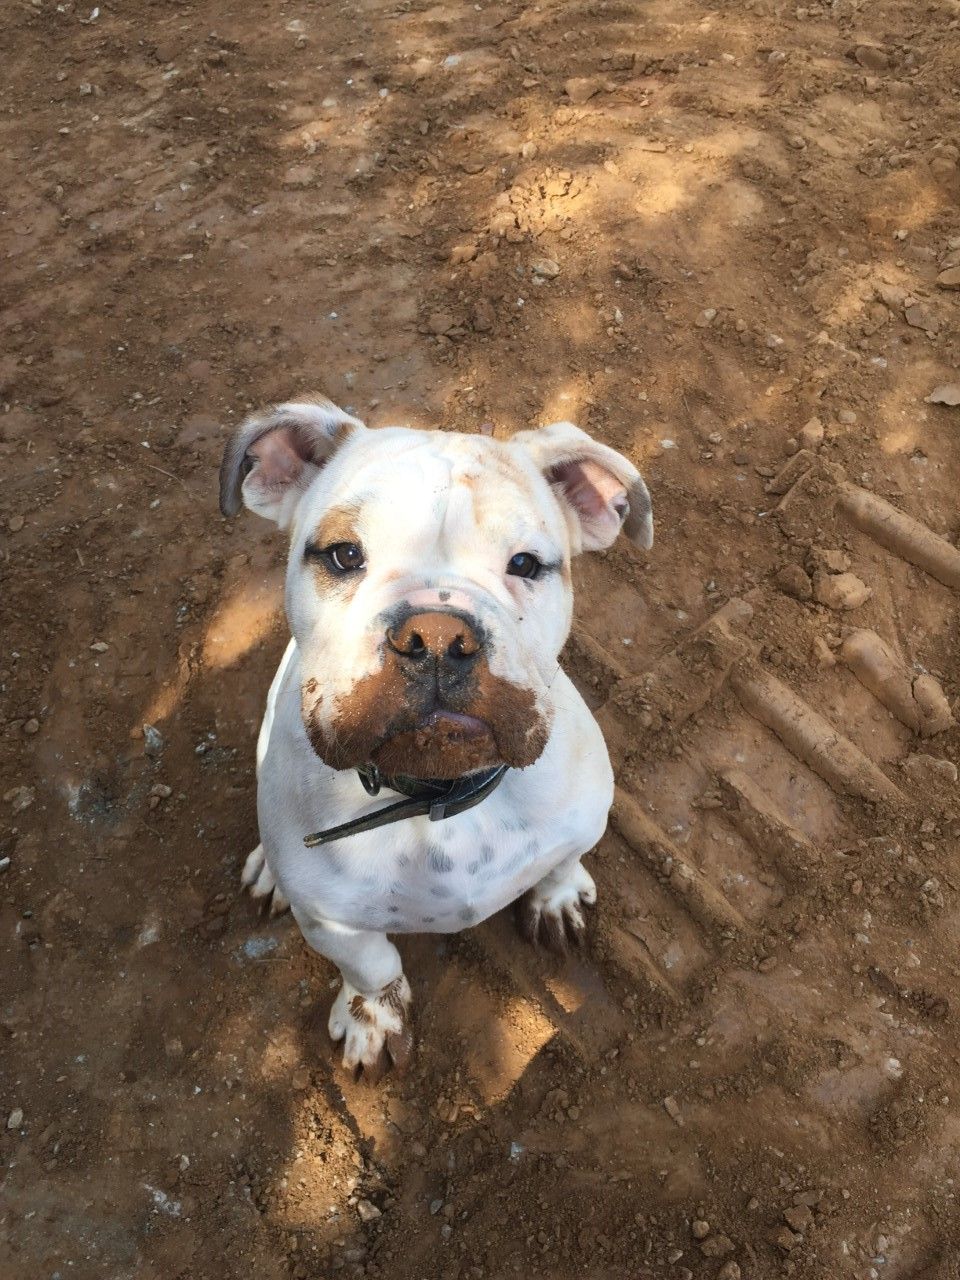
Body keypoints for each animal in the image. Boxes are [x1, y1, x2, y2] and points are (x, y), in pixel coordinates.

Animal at [219, 397, 652, 1079]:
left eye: (526, 565)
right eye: (343, 555)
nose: (439, 636)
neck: (438, 794)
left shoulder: (583, 820)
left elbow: (564, 859)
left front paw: (556, 897)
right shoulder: (334, 921)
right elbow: (372, 966)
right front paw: (373, 1019)